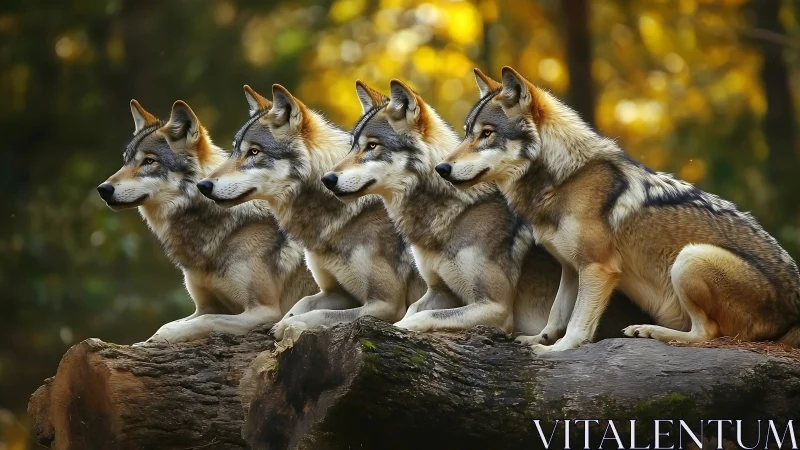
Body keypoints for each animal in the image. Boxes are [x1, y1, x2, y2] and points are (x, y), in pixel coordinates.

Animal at [97, 100, 316, 343]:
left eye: (149, 161)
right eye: (125, 160)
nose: (103, 189)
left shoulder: (264, 311)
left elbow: (205, 321)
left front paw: (166, 336)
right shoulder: (202, 307)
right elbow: (174, 322)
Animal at [197, 85, 425, 340]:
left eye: (254, 152)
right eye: (235, 149)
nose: (203, 185)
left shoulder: (386, 303)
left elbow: (320, 314)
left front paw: (288, 326)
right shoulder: (335, 292)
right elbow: (301, 304)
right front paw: (285, 322)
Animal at [439, 67, 800, 352]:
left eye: (487, 134)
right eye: (468, 132)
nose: (442, 168)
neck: (565, 178)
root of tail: (794, 311)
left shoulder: (598, 268)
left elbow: (578, 322)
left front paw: (558, 350)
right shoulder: (571, 268)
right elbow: (557, 313)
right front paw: (539, 340)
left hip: (690, 257)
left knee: (708, 334)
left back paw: (650, 331)